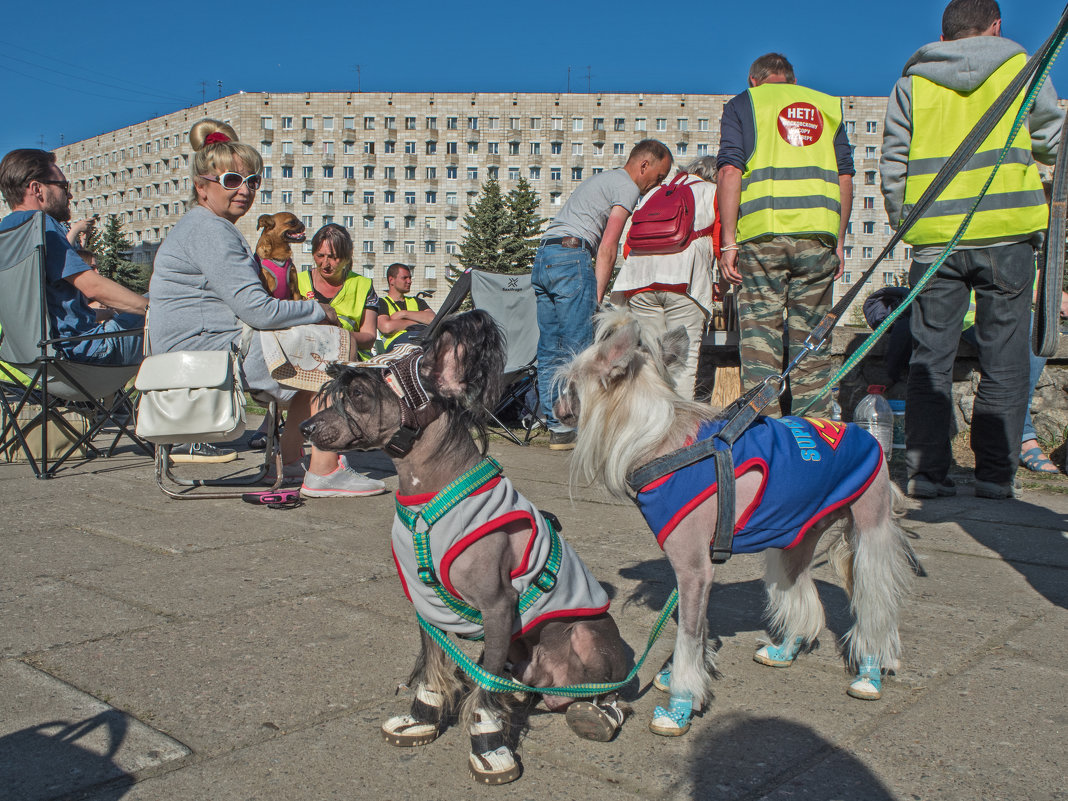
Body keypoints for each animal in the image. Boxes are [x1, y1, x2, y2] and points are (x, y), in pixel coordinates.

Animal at [555, 309, 914, 739]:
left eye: (569, 383)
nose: (554, 406)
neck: (661, 440)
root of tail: (870, 439)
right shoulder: (697, 571)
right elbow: (699, 629)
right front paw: (684, 677)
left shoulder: (693, 569)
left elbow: (687, 636)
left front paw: (680, 702)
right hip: (795, 538)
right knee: (800, 592)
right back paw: (786, 649)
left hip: (869, 534)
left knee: (876, 606)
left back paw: (870, 673)